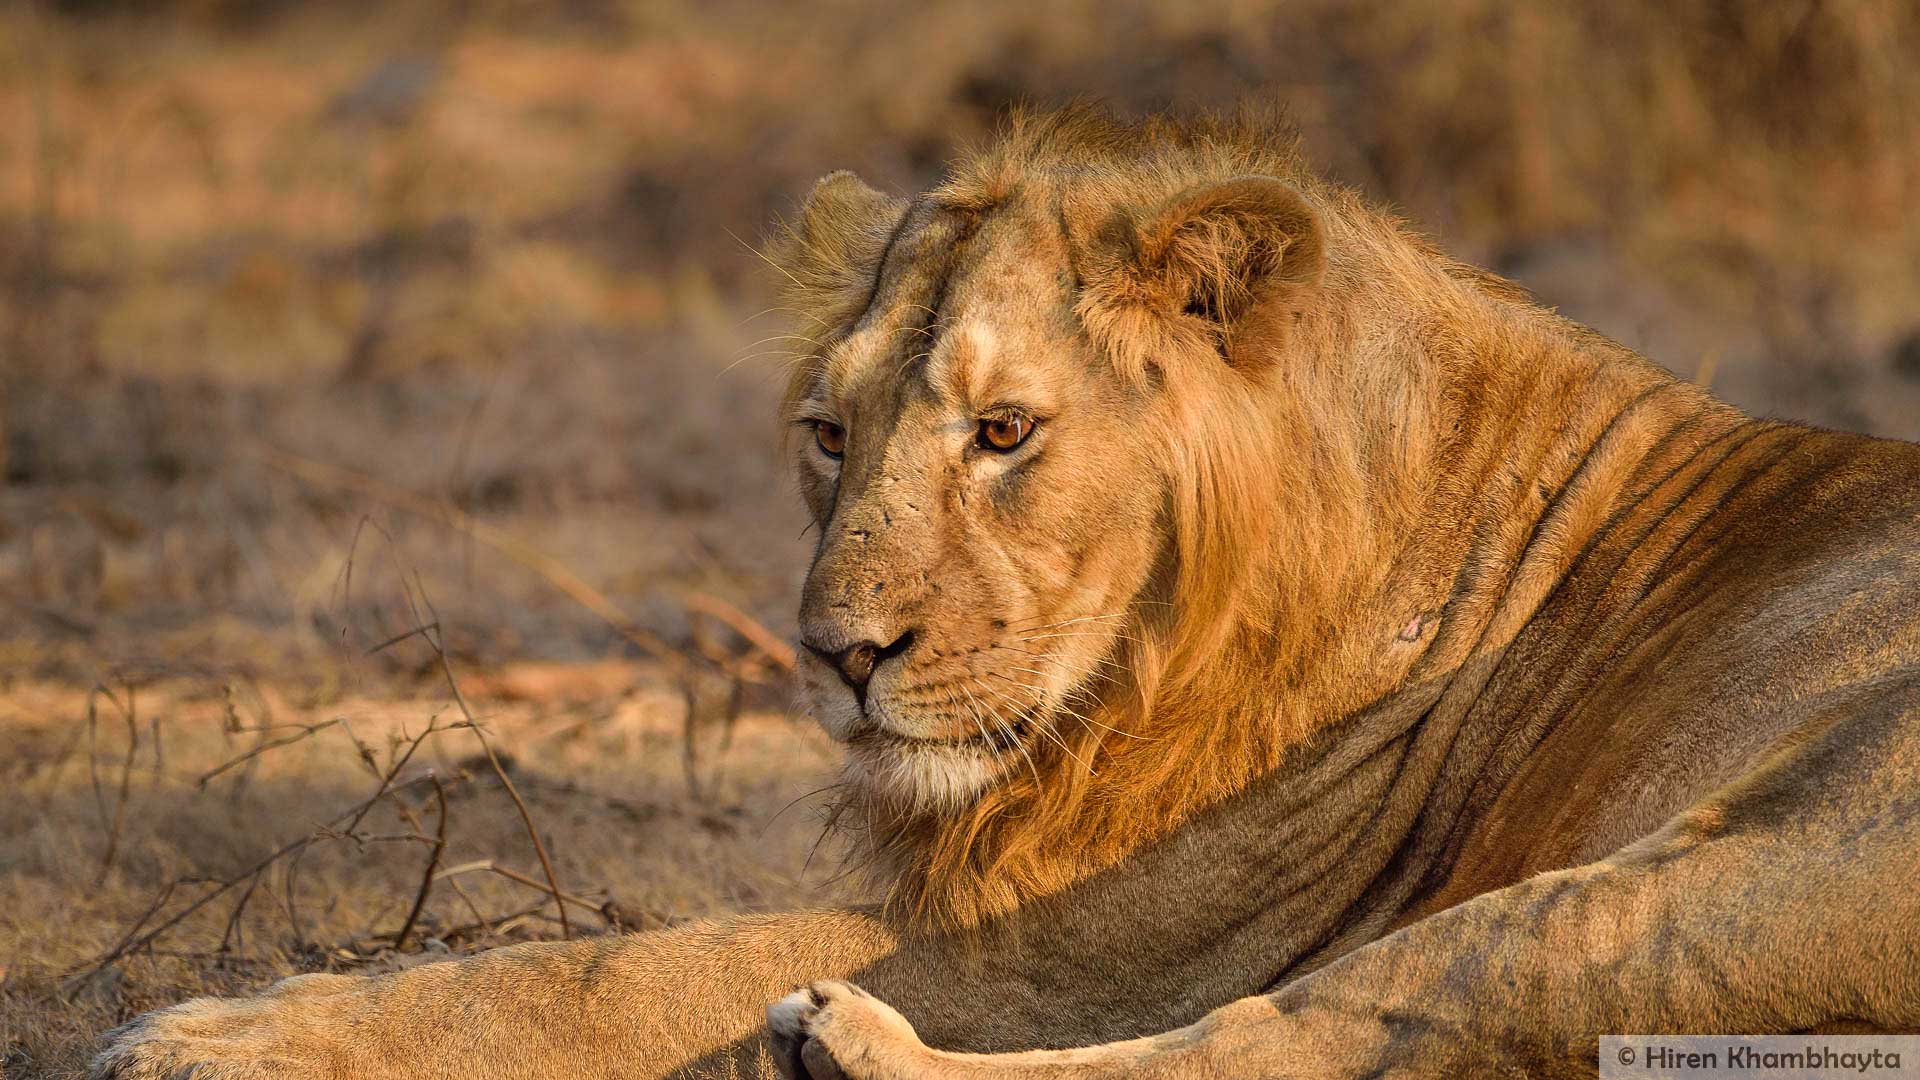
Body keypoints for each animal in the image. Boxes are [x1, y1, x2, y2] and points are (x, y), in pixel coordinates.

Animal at [93, 106, 1919, 1080]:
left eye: (1003, 433)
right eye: (828, 435)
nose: (837, 657)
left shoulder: (1102, 946)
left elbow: (620, 969)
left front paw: (217, 1034)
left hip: (1739, 858)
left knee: (1299, 1042)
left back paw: (841, 1048)